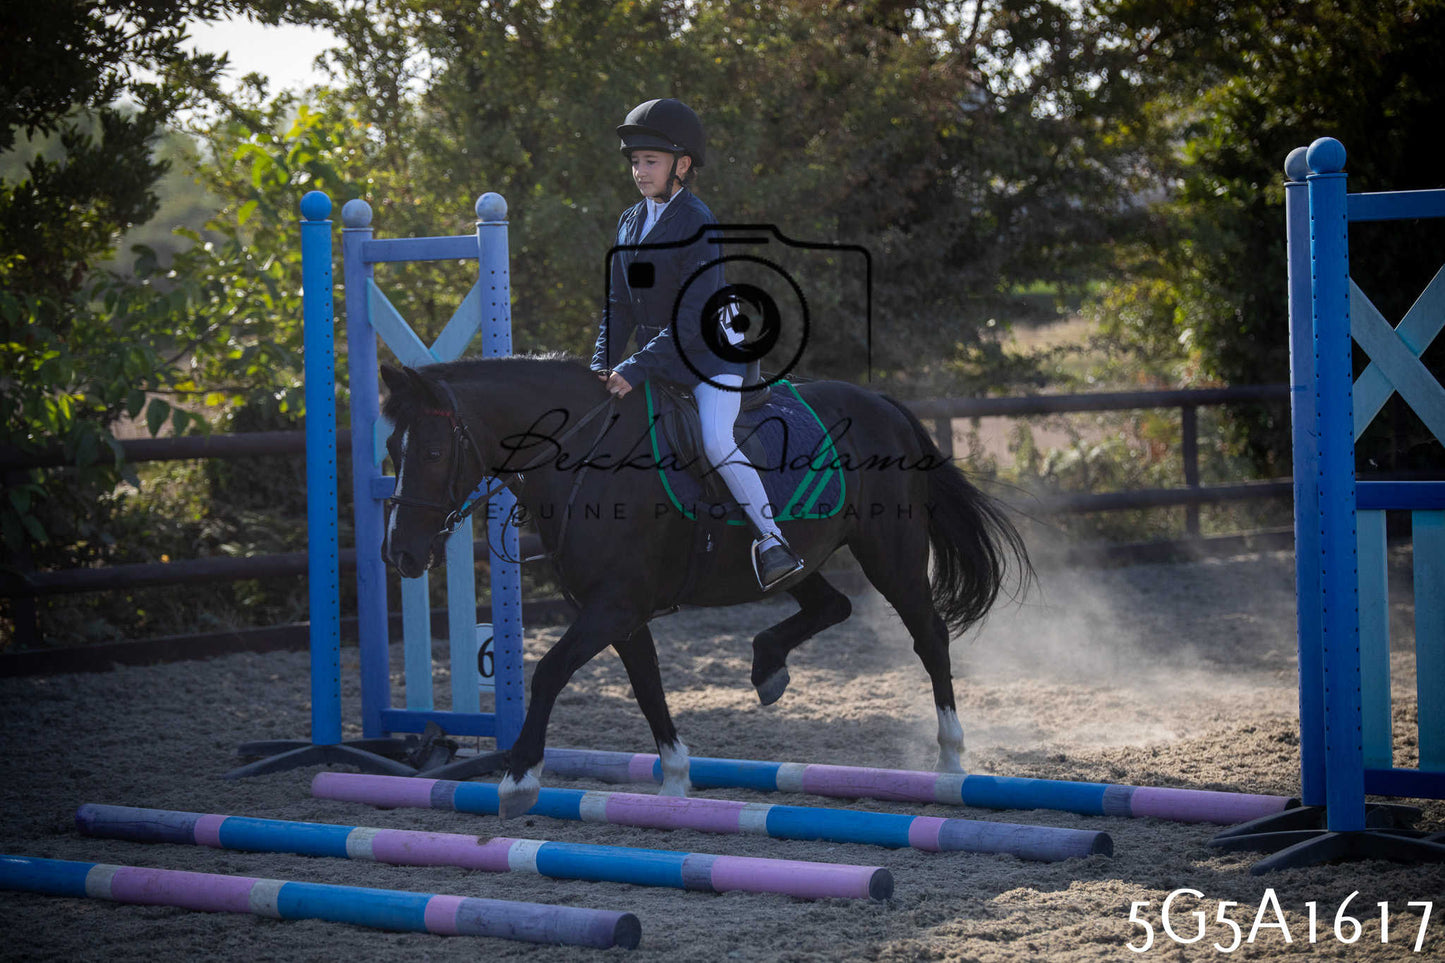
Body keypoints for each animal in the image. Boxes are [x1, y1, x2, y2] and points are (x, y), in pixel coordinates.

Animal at [379, 355, 1030, 818]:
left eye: (433, 451)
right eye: (391, 449)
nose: (401, 554)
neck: (585, 459)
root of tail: (884, 405)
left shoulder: (612, 606)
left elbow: (549, 671)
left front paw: (518, 779)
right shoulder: (620, 612)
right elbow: (647, 687)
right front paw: (673, 783)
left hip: (890, 555)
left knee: (929, 636)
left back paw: (950, 756)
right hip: (804, 559)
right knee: (831, 602)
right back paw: (767, 667)